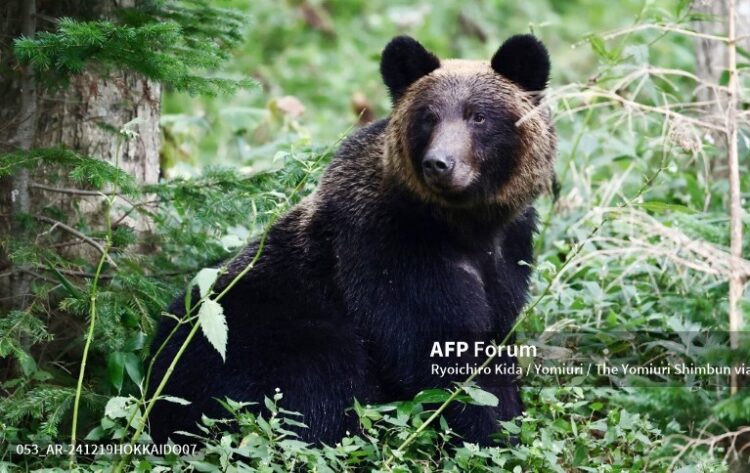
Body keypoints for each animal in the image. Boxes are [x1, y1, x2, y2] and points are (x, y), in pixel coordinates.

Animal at [148, 34, 556, 446]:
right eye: (429, 116)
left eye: (478, 116)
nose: (440, 164)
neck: (465, 225)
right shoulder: (392, 251)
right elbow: (434, 349)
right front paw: (492, 428)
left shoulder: (510, 252)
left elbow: (493, 337)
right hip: (253, 336)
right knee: (319, 380)